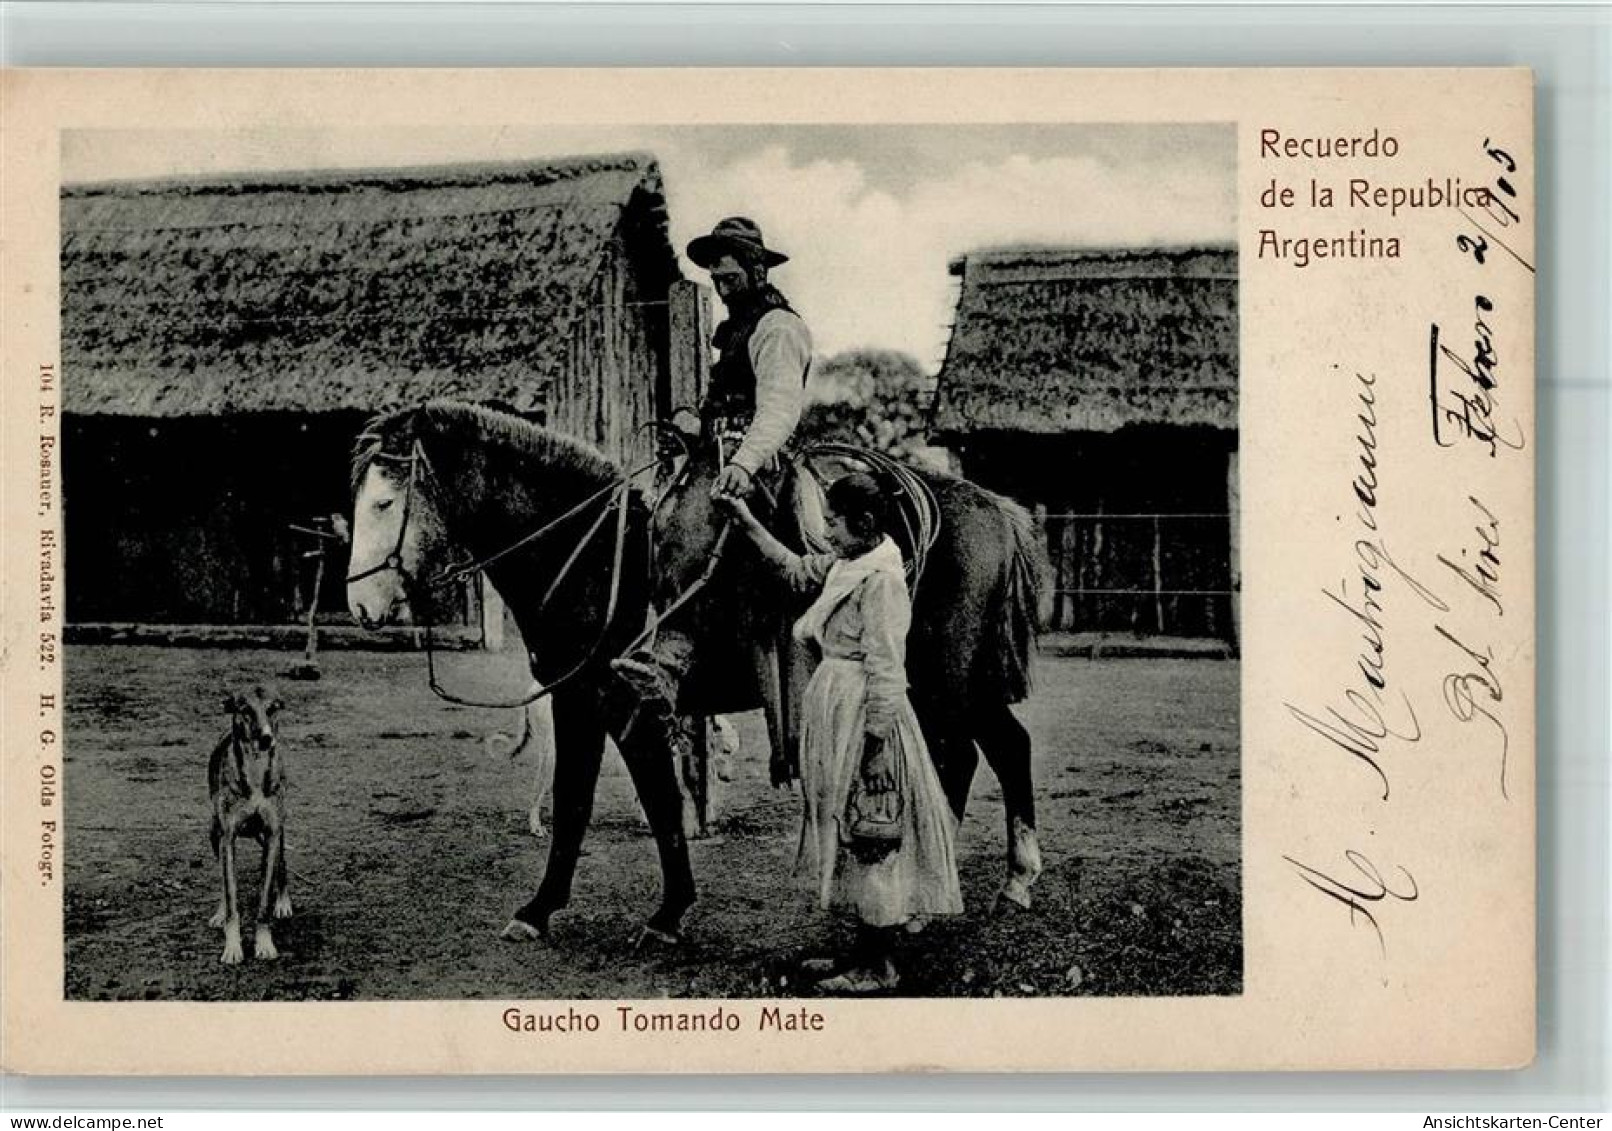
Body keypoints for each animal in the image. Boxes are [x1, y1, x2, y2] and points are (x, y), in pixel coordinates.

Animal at [207, 689, 293, 966]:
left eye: (273, 708)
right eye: (245, 710)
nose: (266, 738)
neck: (255, 768)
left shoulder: (273, 832)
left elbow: (263, 902)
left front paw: (264, 944)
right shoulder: (228, 838)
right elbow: (231, 896)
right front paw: (233, 946)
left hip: (276, 834)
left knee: (282, 864)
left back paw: (283, 901)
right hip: (214, 833)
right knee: (223, 882)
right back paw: (219, 912)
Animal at [344, 401, 1044, 947]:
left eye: (384, 501)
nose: (362, 606)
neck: (598, 562)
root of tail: (993, 508)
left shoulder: (625, 707)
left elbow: (651, 804)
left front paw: (665, 912)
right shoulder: (579, 703)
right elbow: (578, 804)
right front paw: (543, 910)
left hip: (945, 680)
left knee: (967, 754)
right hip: (953, 683)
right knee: (1000, 747)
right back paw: (1007, 881)